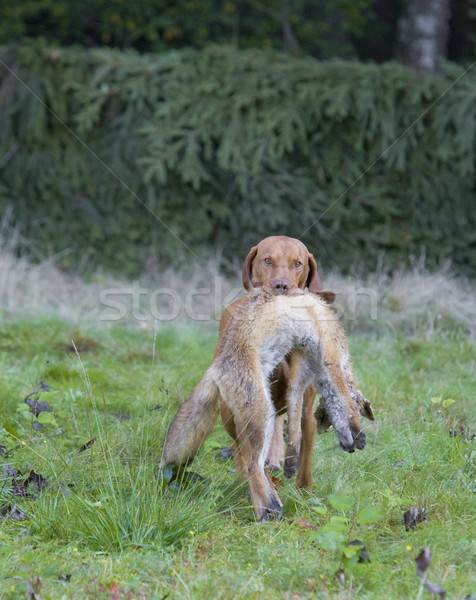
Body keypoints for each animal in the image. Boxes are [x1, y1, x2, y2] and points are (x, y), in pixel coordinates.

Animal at [162, 290, 374, 520]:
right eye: (324, 420)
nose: (348, 447)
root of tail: (215, 367)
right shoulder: (331, 358)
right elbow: (347, 403)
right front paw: (358, 431)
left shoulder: (302, 375)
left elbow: (297, 421)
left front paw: (291, 461)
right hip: (263, 415)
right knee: (252, 466)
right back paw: (266, 512)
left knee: (251, 463)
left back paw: (272, 505)